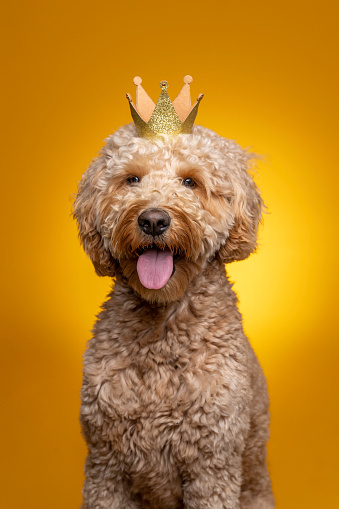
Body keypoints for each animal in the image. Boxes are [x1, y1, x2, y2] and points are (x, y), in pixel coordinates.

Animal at [73, 123, 274, 508]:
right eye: (132, 178)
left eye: (190, 182)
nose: (153, 220)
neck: (162, 328)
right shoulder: (105, 465)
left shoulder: (212, 465)